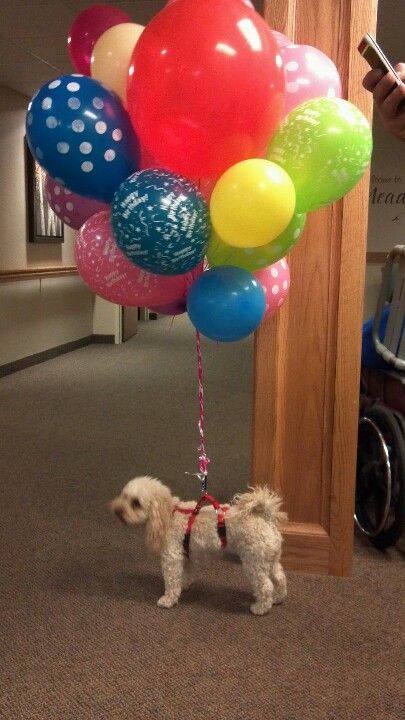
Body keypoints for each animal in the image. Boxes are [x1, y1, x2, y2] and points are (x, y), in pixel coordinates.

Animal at [110, 476, 288, 616]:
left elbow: (171, 581)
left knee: (266, 586)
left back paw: (260, 608)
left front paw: (168, 600)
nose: (117, 511)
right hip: (269, 560)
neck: (168, 514)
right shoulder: (187, 555)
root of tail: (265, 517)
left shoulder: (171, 558)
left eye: (135, 503)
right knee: (280, 578)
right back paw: (278, 598)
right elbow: (186, 574)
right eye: (124, 496)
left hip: (254, 563)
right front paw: (184, 585)